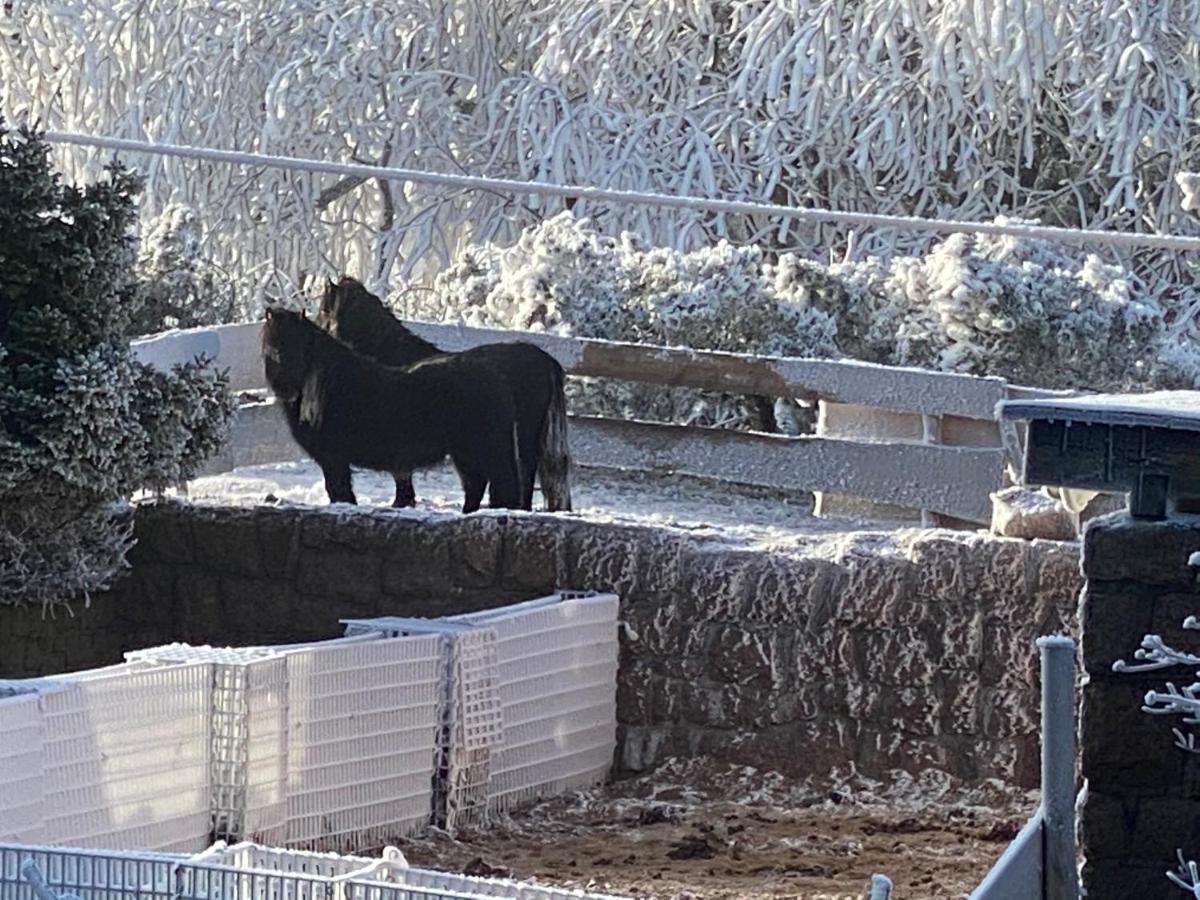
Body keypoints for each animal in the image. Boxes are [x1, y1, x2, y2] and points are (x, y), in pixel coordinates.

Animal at [260, 307, 523, 511]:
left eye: (299, 344)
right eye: (270, 345)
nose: (285, 387)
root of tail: (496, 378)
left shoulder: (334, 458)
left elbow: (340, 492)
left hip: (481, 450)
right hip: (466, 454)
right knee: (475, 486)